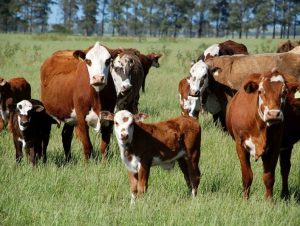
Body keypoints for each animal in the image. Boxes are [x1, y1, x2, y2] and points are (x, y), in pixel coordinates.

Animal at [227, 69, 288, 199]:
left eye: (285, 91)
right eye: (260, 91)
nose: (273, 114)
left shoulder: (275, 147)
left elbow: (269, 177)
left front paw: (269, 201)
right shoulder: (240, 145)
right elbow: (247, 176)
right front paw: (245, 200)